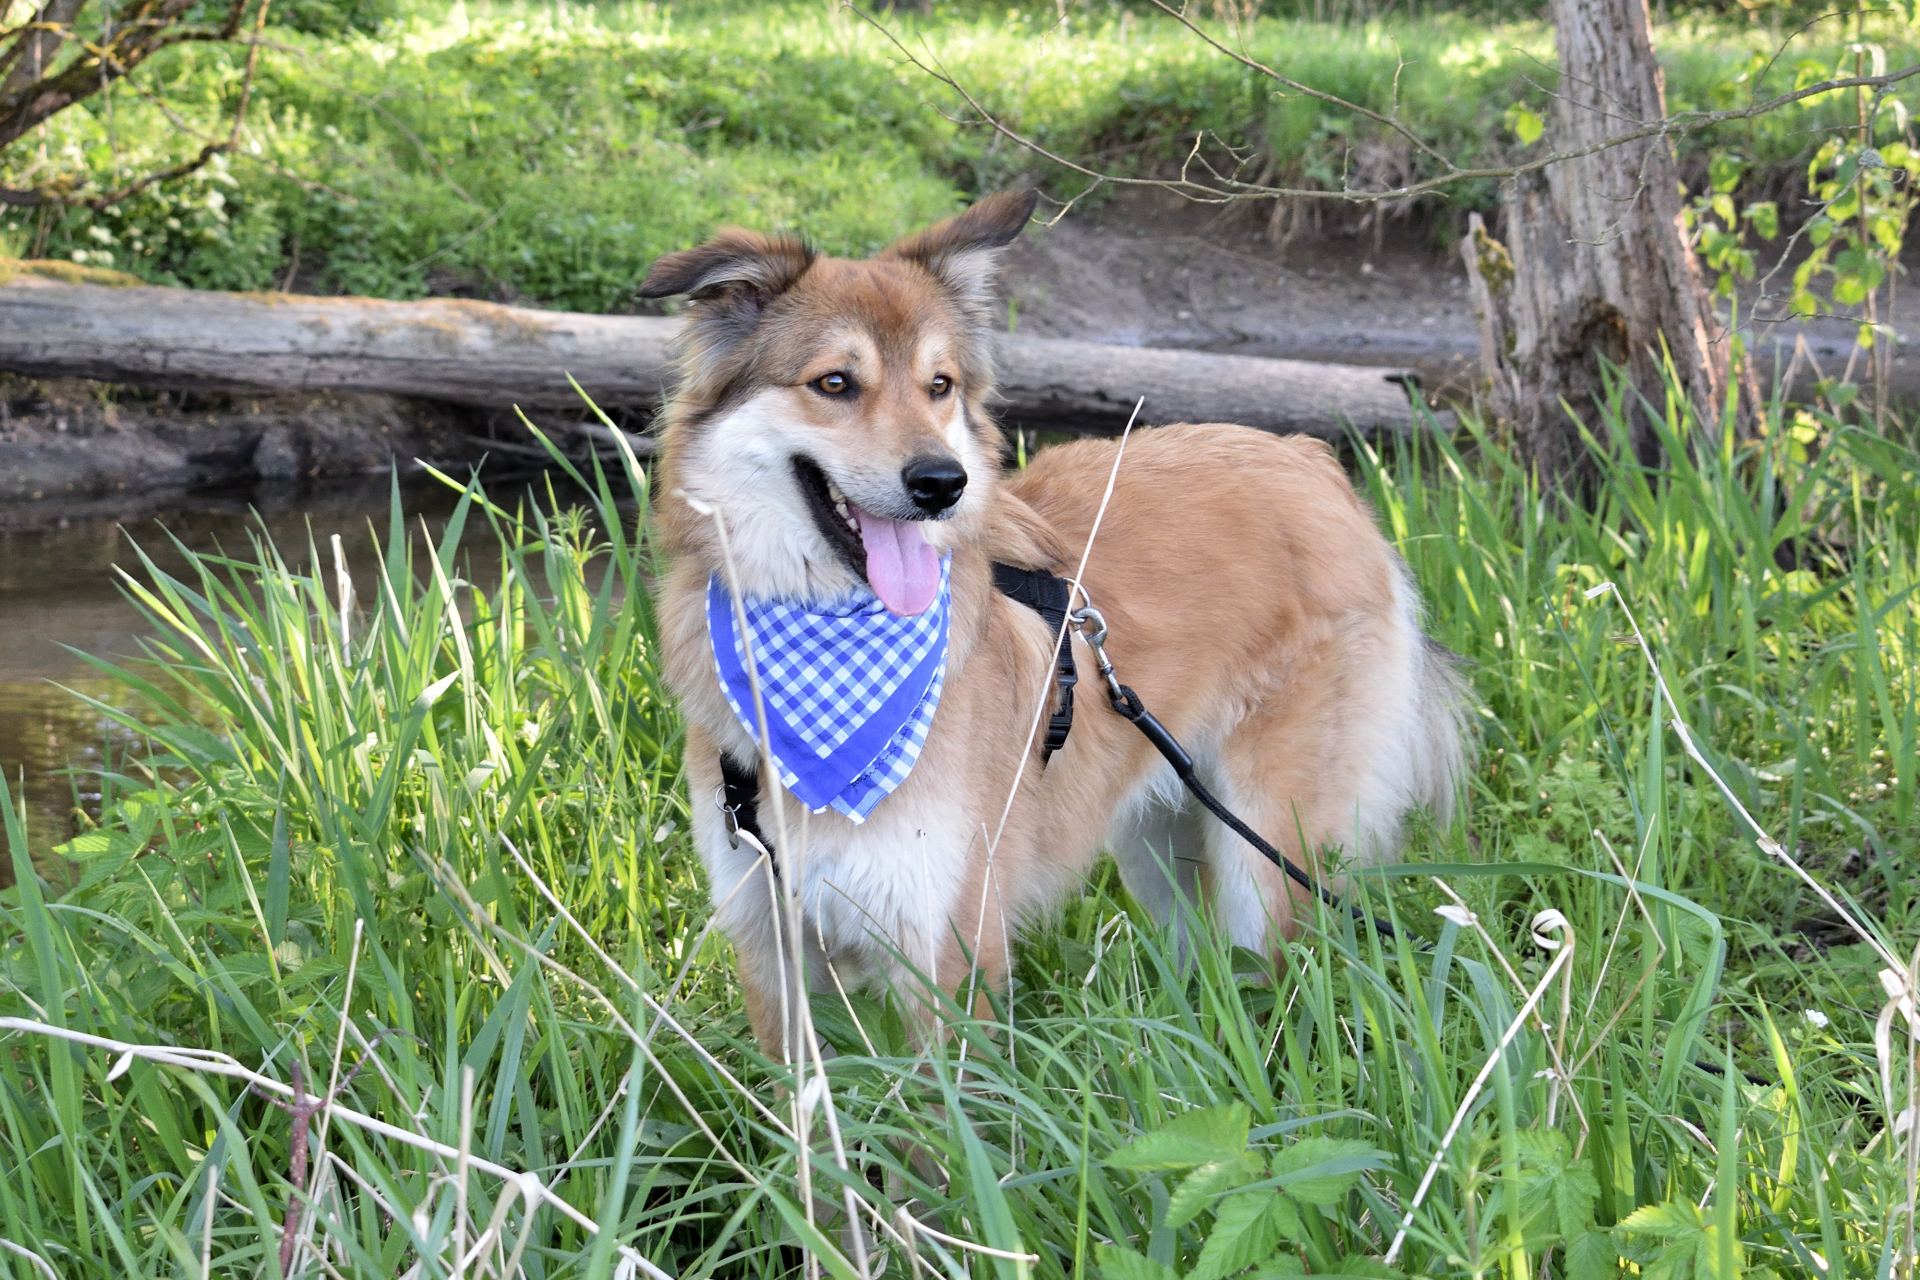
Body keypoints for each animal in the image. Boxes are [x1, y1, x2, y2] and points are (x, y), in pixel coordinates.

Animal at [637, 189, 1459, 1059]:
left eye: (939, 385)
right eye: (834, 382)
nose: (944, 484)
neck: (827, 659)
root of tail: (1308, 458)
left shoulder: (946, 950)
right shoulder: (772, 948)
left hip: (1266, 857)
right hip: (1161, 839)